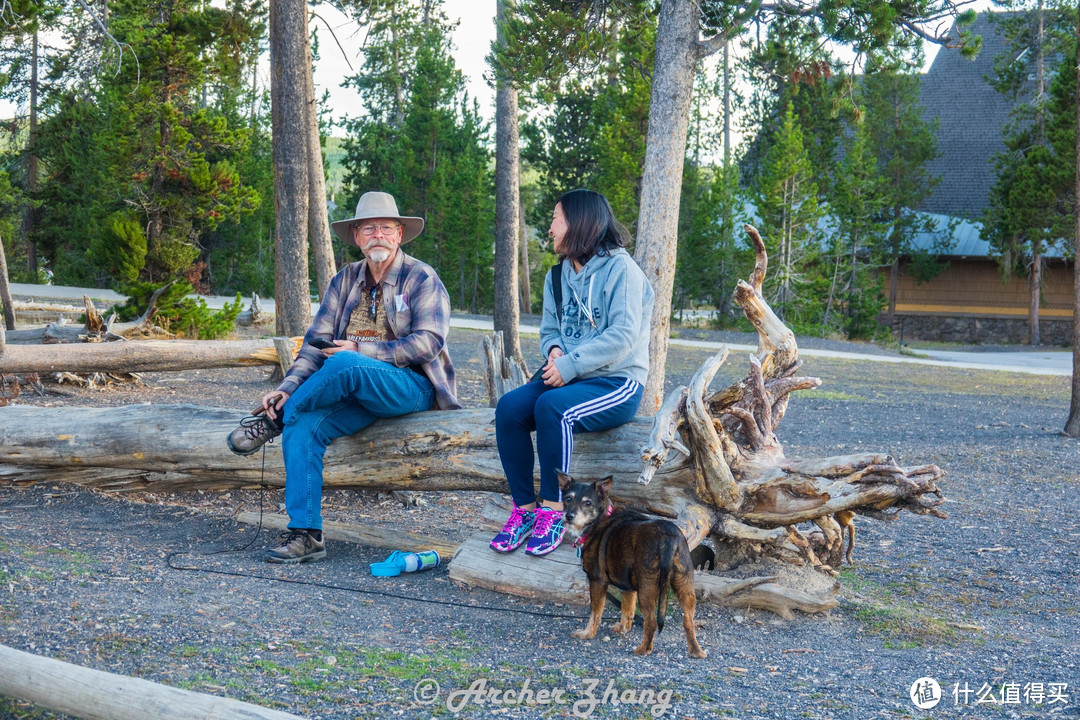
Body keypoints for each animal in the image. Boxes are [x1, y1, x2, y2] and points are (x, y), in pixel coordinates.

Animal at [561, 472, 704, 660]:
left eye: (587, 503)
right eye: (567, 499)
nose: (568, 516)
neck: (600, 518)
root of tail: (668, 534)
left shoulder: (597, 581)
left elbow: (595, 612)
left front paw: (587, 633)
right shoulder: (628, 586)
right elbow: (627, 609)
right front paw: (623, 628)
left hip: (647, 588)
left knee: (651, 621)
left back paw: (644, 649)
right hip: (684, 585)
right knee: (688, 620)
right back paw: (696, 651)